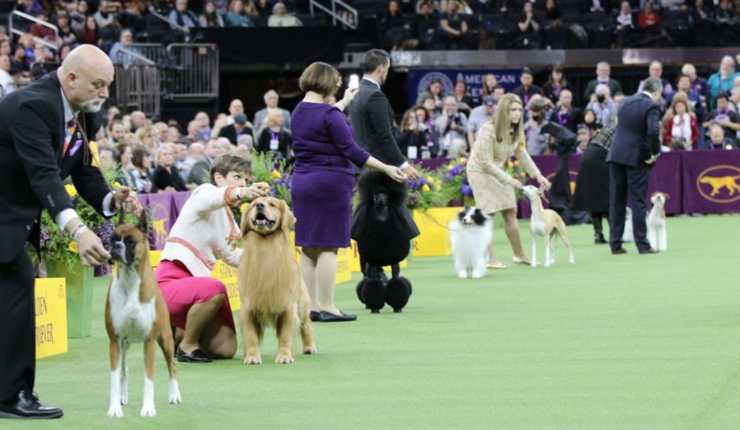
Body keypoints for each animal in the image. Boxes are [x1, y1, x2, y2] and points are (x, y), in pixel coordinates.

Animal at [238, 197, 316, 364]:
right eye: (253, 204)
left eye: (272, 204)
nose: (259, 205)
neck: (265, 245)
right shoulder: (247, 308)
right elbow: (251, 337)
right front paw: (252, 356)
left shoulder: (288, 307)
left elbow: (285, 336)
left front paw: (284, 356)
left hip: (302, 305)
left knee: (306, 326)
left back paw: (309, 347)